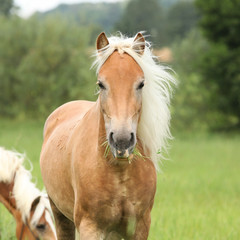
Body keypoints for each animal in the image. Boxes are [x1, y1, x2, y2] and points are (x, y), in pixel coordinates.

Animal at [40, 31, 176, 240]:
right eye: (101, 84)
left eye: (141, 84)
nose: (122, 141)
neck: (118, 171)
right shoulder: (90, 227)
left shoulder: (140, 227)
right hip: (60, 214)